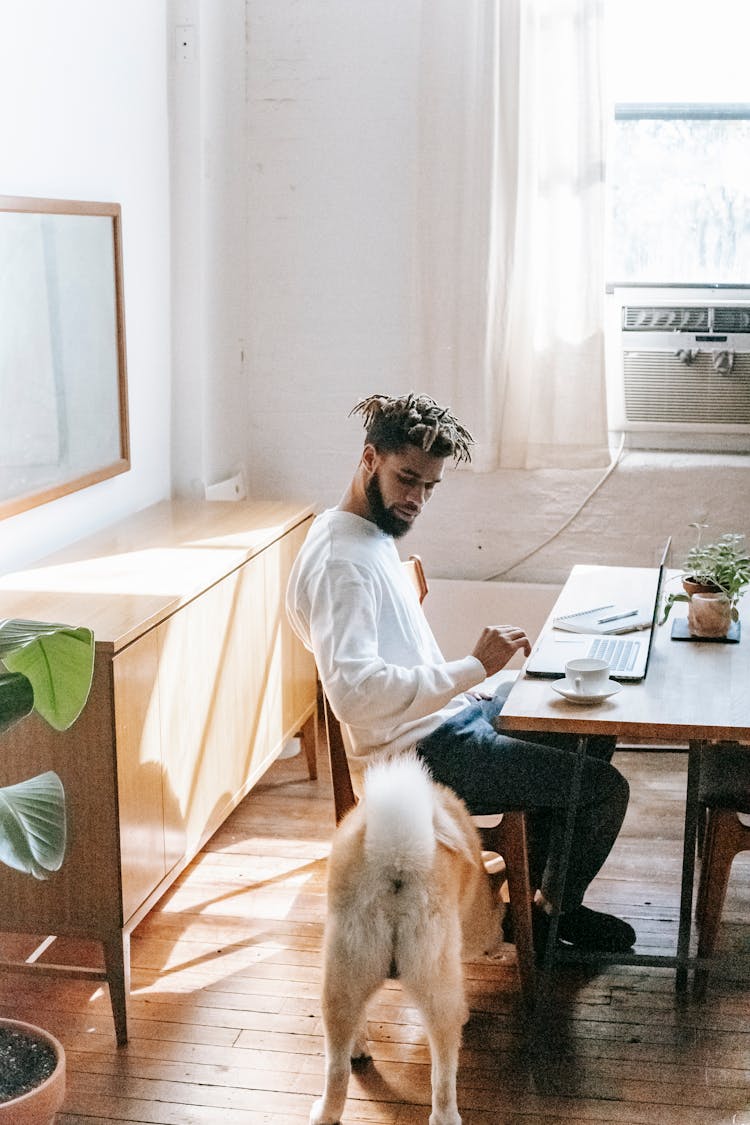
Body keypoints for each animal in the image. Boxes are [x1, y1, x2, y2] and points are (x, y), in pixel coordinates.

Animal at [310, 751, 503, 1125]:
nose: (501, 937)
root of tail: (397, 857)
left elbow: (360, 1021)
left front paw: (359, 1046)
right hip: (437, 990)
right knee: (443, 1074)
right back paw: (447, 1115)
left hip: (343, 976)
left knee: (336, 1069)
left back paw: (327, 1110)